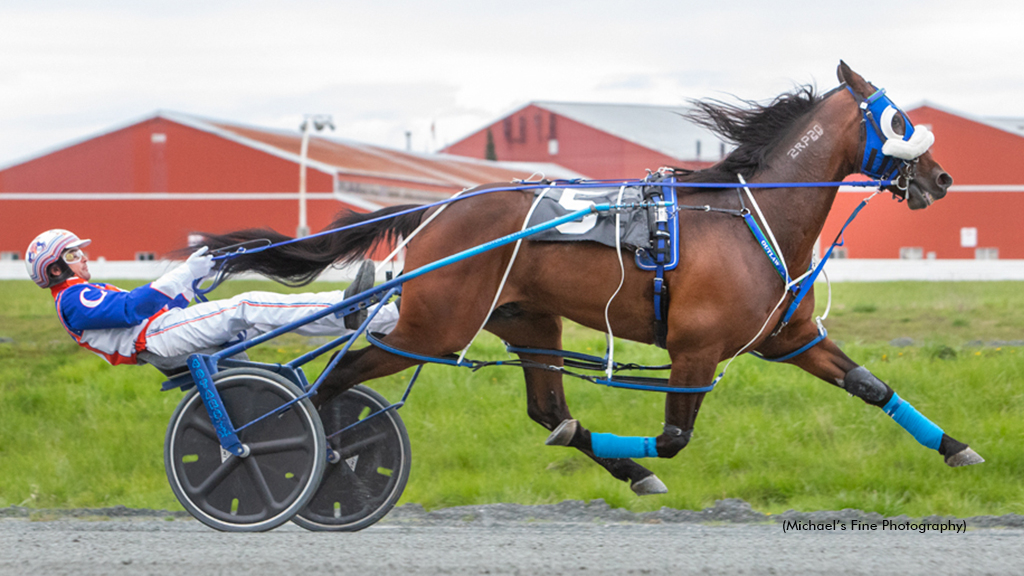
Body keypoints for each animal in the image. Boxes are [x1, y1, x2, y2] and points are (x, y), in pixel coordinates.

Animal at [193, 61, 983, 494]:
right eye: (901, 121)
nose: (942, 178)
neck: (747, 219)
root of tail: (441, 206)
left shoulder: (789, 338)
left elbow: (871, 386)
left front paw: (960, 449)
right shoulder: (695, 351)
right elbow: (673, 438)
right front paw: (648, 461)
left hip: (528, 321)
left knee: (550, 411)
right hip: (431, 328)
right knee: (333, 379)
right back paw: (295, 457)